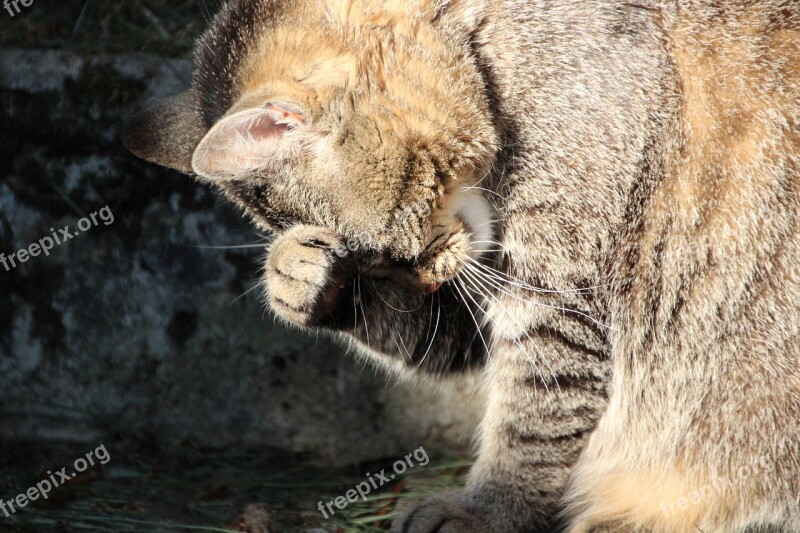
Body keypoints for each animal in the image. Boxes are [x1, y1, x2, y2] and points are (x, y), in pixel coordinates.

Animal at [123, 0, 800, 528]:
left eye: (390, 247)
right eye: (375, 262)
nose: (425, 276)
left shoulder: (555, 301)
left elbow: (530, 424)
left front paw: (487, 511)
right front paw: (298, 278)